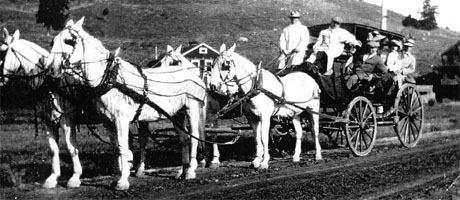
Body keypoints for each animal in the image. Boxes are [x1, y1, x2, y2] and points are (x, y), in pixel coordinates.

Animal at [0, 28, 84, 188]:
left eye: (2, 53)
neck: (50, 82)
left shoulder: (67, 120)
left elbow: (72, 149)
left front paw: (75, 177)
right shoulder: (48, 121)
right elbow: (53, 150)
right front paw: (52, 178)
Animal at [45, 16, 208, 189]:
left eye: (69, 41)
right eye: (53, 41)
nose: (52, 70)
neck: (110, 78)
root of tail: (195, 75)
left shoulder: (121, 120)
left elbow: (123, 148)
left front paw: (123, 181)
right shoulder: (108, 122)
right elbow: (116, 149)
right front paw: (116, 177)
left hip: (192, 109)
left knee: (194, 138)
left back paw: (190, 171)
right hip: (177, 115)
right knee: (184, 139)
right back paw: (182, 171)